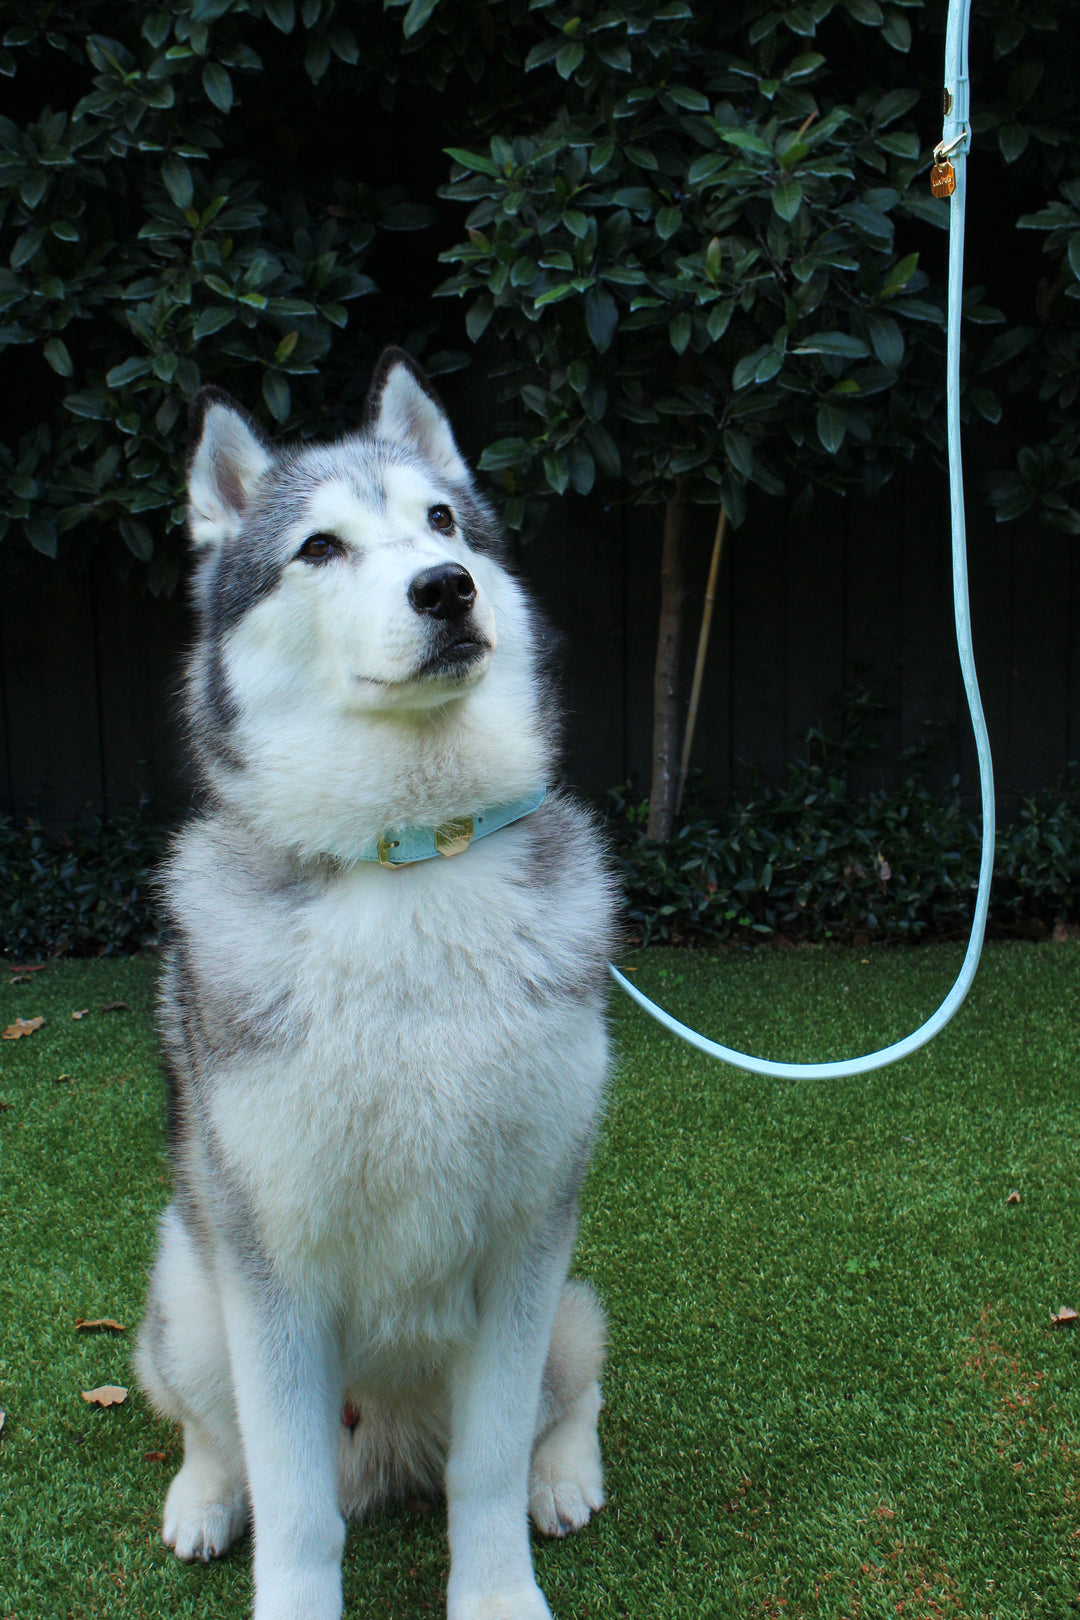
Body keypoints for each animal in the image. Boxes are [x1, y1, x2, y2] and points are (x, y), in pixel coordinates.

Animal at [137, 345, 615, 1620]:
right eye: (321, 547)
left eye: (443, 521)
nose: (447, 588)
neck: (411, 858)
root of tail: (391, 1452)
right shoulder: (273, 1271)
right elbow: (295, 1505)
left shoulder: (526, 1243)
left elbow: (489, 1464)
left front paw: (498, 1594)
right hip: (188, 1293)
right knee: (210, 1428)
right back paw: (204, 1498)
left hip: (568, 1310)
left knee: (575, 1392)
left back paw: (566, 1477)